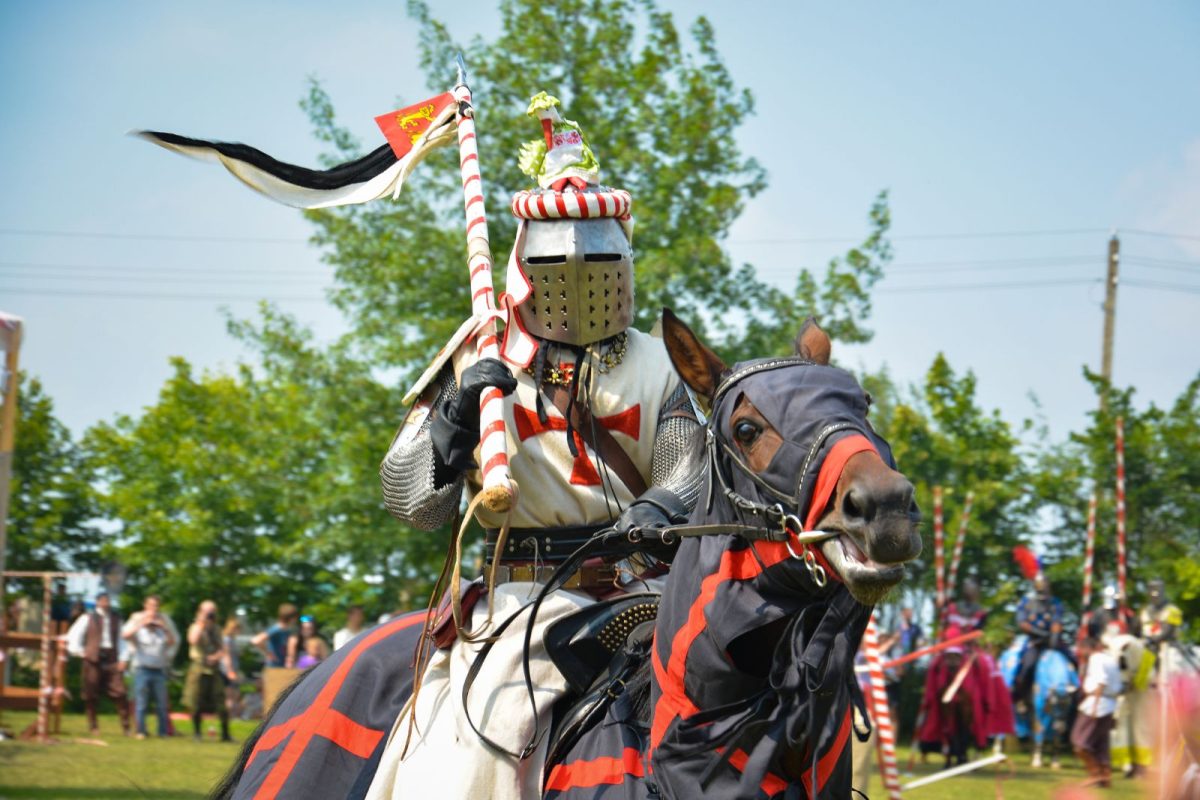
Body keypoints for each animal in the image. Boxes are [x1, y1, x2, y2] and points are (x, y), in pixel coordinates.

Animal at [993, 633, 1080, 767]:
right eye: (1054, 704)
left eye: (1067, 705)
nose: (1060, 726)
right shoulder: (1039, 708)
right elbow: (1040, 730)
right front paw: (1037, 760)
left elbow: (1056, 737)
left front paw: (1055, 761)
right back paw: (998, 753)